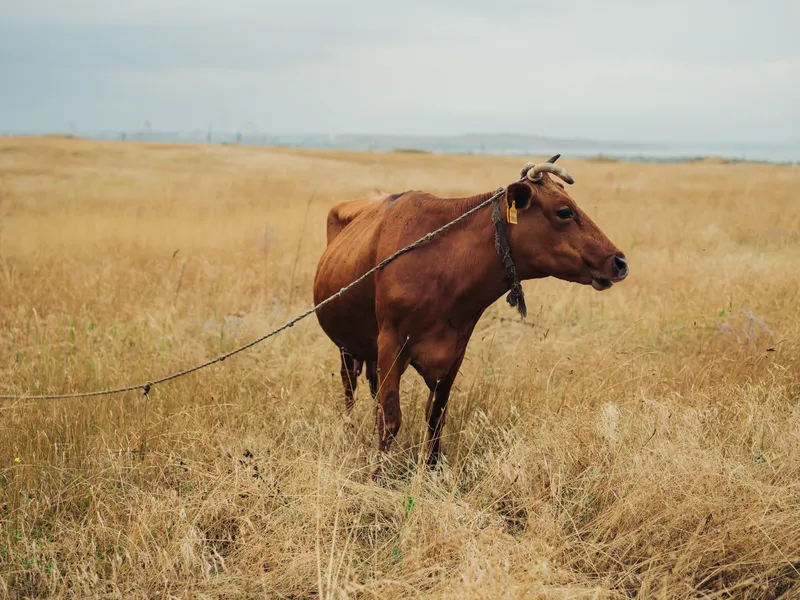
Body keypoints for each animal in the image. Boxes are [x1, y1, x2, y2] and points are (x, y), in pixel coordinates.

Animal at [313, 156, 629, 472]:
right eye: (564, 211)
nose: (620, 261)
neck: (442, 265)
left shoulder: (453, 353)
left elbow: (435, 416)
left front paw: (433, 468)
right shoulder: (391, 343)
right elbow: (390, 418)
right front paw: (378, 474)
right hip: (346, 346)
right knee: (349, 384)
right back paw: (350, 429)